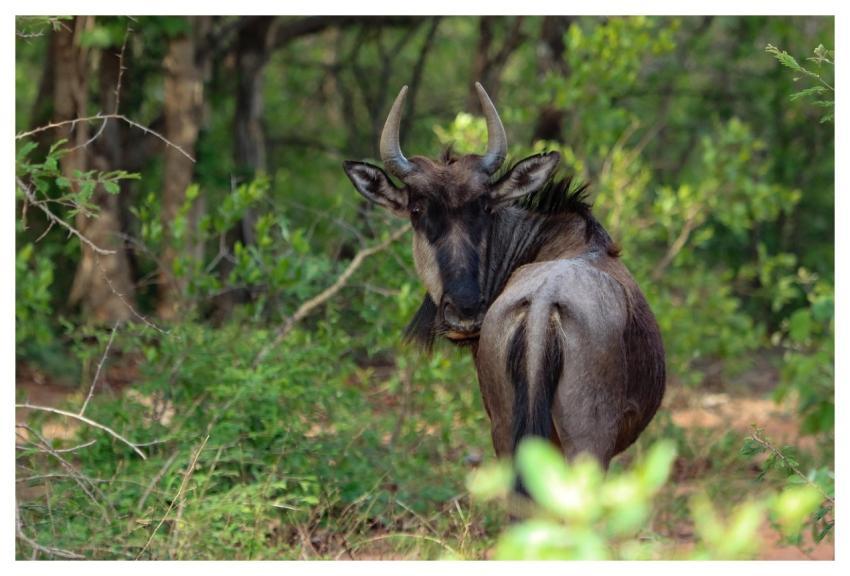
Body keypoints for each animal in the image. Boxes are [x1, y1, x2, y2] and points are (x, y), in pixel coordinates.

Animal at [343, 83, 665, 473]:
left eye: (484, 206)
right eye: (417, 210)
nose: (464, 312)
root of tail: (543, 306)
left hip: (512, 433)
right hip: (585, 444)